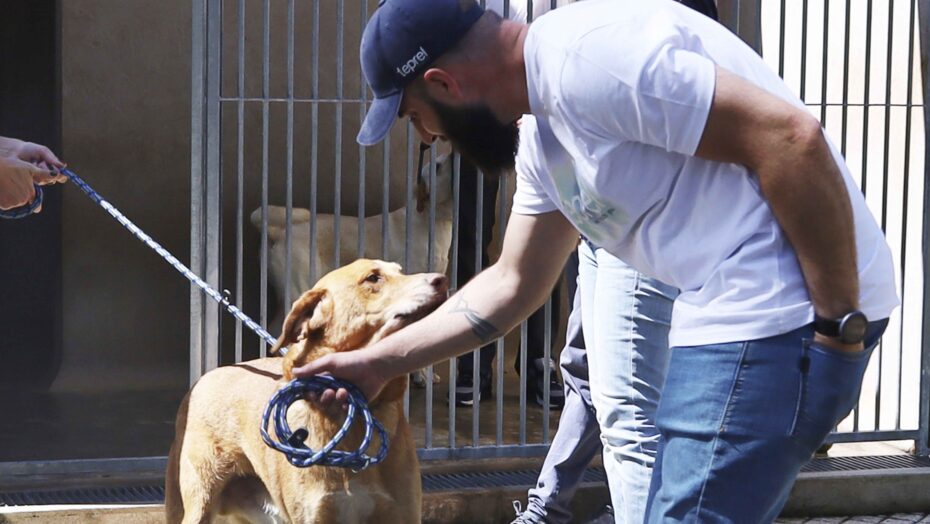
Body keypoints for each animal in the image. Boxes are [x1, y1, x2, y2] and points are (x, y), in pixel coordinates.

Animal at [167, 260, 450, 520]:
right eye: (372, 277)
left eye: (401, 271)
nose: (442, 280)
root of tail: (204, 378)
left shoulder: (402, 512)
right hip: (198, 501)